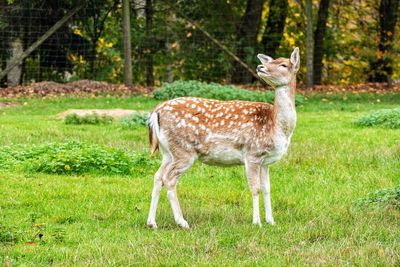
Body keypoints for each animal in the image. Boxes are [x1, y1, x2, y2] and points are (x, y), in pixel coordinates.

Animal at [145, 47, 298, 229]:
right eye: (271, 61)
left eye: (283, 64)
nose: (260, 67)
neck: (277, 127)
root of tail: (155, 112)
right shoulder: (253, 153)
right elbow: (255, 188)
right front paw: (257, 222)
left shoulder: (266, 161)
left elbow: (267, 188)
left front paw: (271, 221)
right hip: (184, 150)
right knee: (169, 179)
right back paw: (182, 222)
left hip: (167, 152)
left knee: (157, 177)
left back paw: (152, 222)